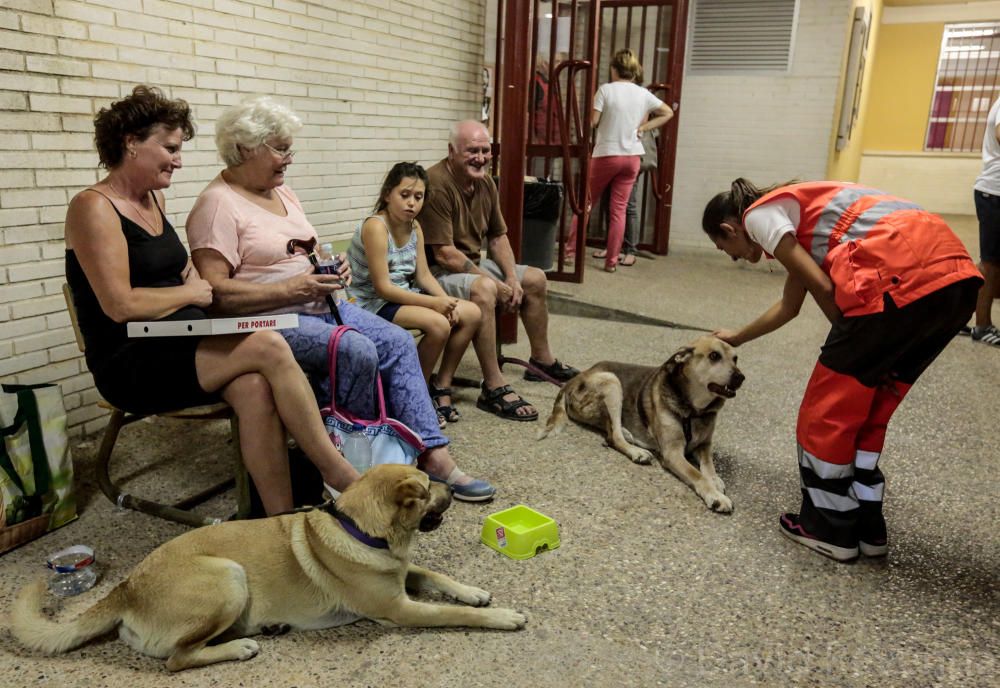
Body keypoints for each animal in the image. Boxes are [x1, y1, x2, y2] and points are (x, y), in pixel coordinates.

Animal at [11, 462, 528, 672]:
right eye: (427, 484)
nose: (451, 489)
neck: (360, 529)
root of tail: (126, 587)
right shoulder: (399, 609)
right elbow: (453, 614)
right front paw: (502, 616)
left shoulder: (401, 574)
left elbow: (437, 577)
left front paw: (474, 591)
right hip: (228, 577)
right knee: (178, 658)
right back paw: (238, 647)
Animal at [540, 336, 744, 512]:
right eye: (714, 356)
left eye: (736, 358)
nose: (741, 377)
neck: (693, 410)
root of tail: (571, 380)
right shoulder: (672, 452)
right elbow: (697, 474)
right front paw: (716, 496)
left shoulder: (704, 444)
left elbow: (708, 465)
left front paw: (715, 479)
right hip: (612, 381)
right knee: (613, 437)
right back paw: (636, 451)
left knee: (609, 428)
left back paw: (628, 434)